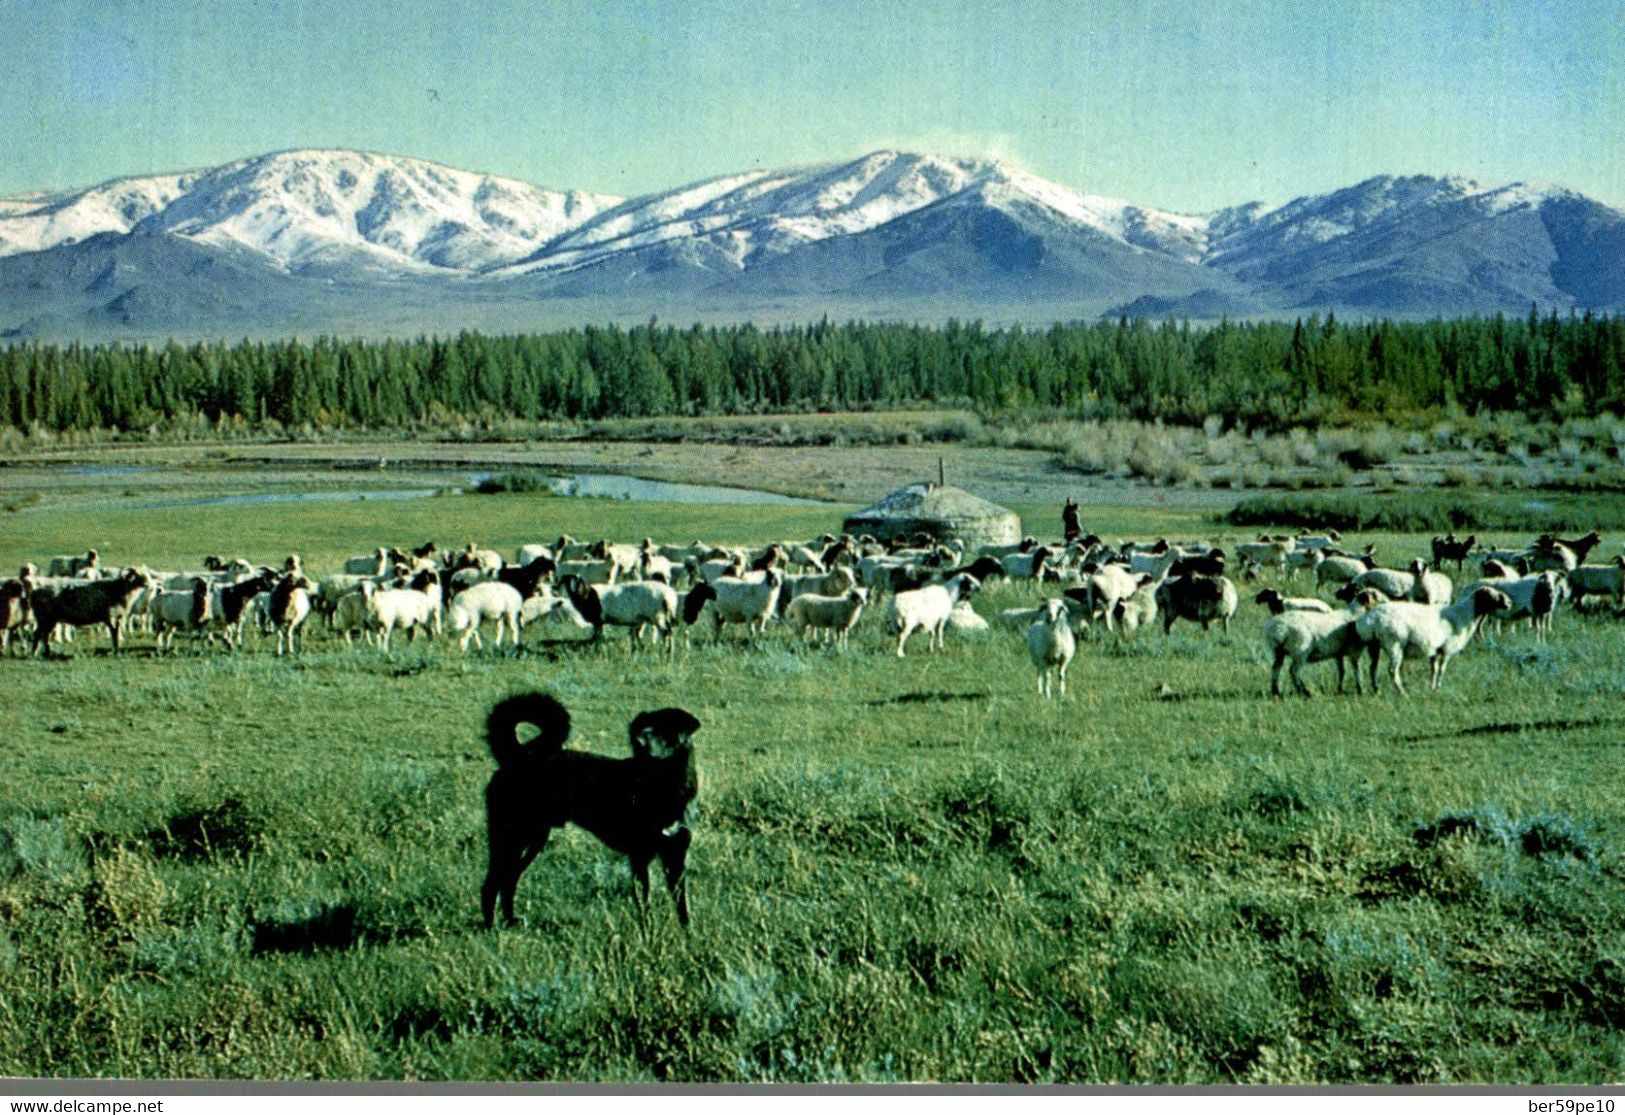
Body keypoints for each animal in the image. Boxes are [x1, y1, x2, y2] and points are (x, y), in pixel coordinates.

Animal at [474, 695, 695, 929]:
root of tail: (518, 756)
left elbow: (682, 903)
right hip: (511, 837)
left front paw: (686, 933)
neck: (662, 786)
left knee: (508, 879)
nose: (640, 742)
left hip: (534, 839)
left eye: (664, 729)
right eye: (642, 729)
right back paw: (491, 927)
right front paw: (649, 934)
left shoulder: (676, 856)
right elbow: (645, 905)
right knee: (491, 884)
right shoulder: (639, 856)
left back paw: (509, 922)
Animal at [1345, 588, 1508, 695]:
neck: (1465, 616)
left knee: (1373, 668)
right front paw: (1438, 687)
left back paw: (1376, 690)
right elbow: (1441, 669)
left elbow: (1434, 670)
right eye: (1491, 596)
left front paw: (1432, 687)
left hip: (1374, 645)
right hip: (1394, 644)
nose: (1508, 604)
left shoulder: (1434, 651)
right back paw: (1402, 693)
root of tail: (1370, 618)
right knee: (1392, 671)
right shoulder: (1447, 649)